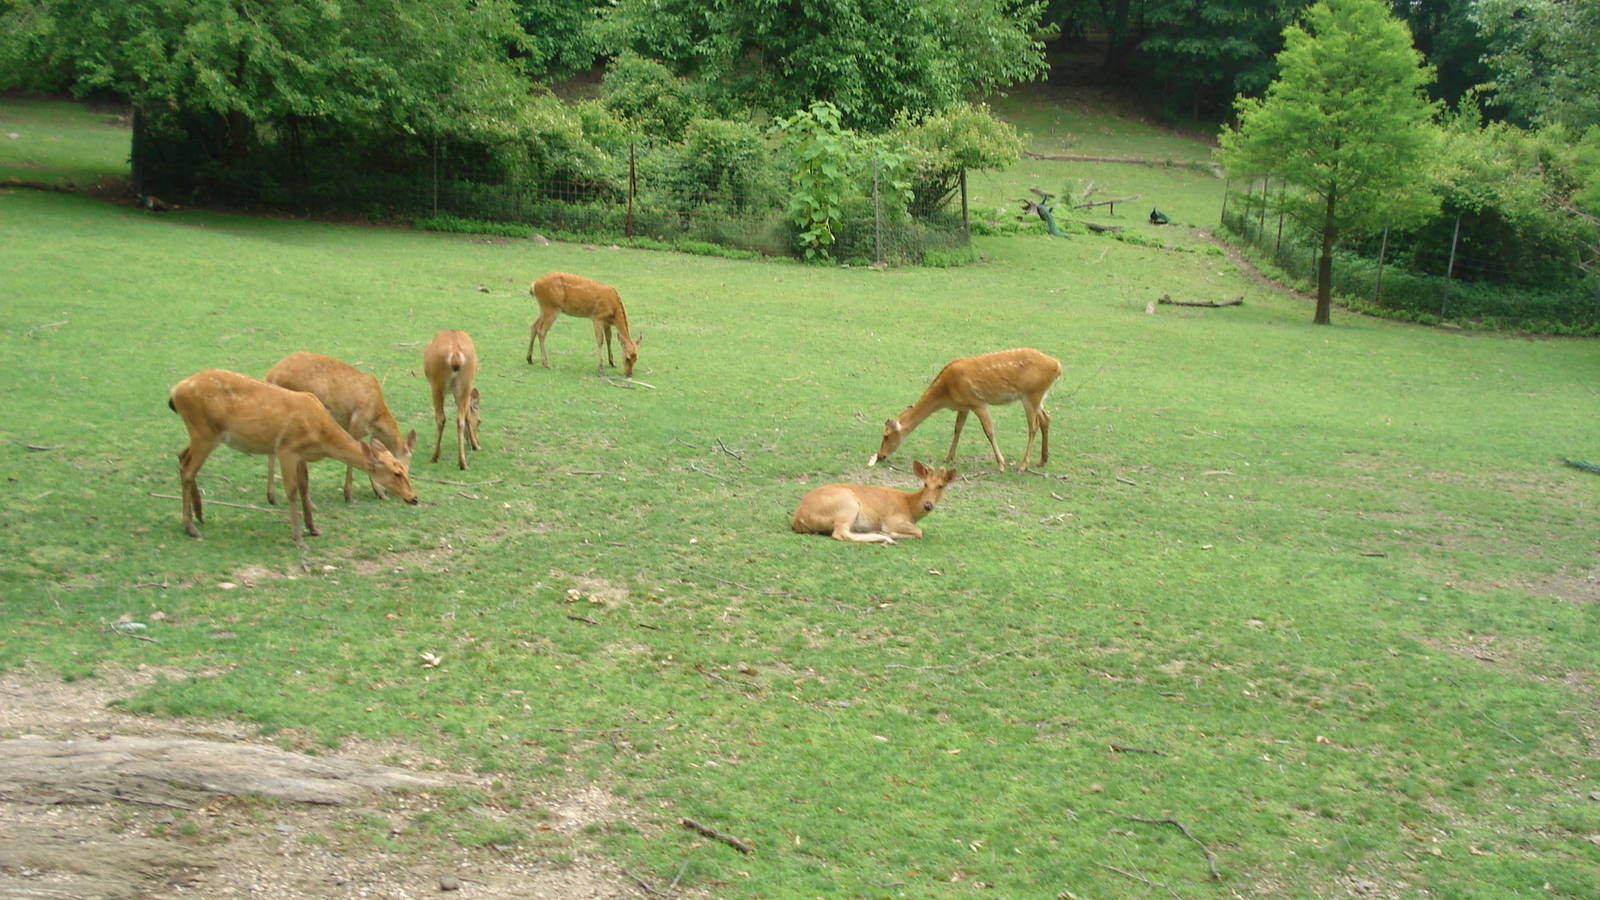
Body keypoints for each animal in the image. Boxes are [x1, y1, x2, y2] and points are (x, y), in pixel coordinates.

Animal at [168, 369, 419, 547]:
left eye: (405, 469)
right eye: (396, 473)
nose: (414, 498)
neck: (321, 437)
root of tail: (174, 393)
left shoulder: (301, 455)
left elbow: (305, 486)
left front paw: (314, 529)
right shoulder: (287, 450)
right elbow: (291, 490)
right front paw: (298, 538)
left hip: (201, 434)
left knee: (182, 457)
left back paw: (199, 515)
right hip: (204, 432)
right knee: (188, 469)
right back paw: (191, 527)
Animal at [263, 351, 416, 505]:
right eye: (401, 469)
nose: (411, 496)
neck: (376, 418)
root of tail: (271, 376)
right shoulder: (356, 424)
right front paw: (352, 495)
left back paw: (272, 497)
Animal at [423, 330, 482, 470]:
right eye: (479, 421)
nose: (478, 442)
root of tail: (455, 355)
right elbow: (466, 414)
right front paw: (476, 445)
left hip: (437, 384)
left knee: (441, 418)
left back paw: (435, 456)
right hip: (465, 383)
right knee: (459, 419)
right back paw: (463, 463)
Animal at [791, 460, 958, 544]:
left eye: (941, 486)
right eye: (925, 484)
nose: (928, 504)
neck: (910, 508)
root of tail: (799, 517)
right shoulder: (893, 520)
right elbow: (919, 531)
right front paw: (891, 534)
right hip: (846, 505)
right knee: (840, 533)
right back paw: (885, 538)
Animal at [868, 348, 1062, 473]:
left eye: (886, 436)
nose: (880, 455)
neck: (946, 394)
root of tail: (1058, 366)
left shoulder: (978, 402)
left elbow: (989, 432)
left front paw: (1001, 464)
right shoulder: (964, 406)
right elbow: (957, 428)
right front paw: (948, 457)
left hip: (1032, 394)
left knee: (1033, 426)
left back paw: (1023, 465)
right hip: (1038, 397)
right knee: (1046, 418)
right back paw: (1042, 460)